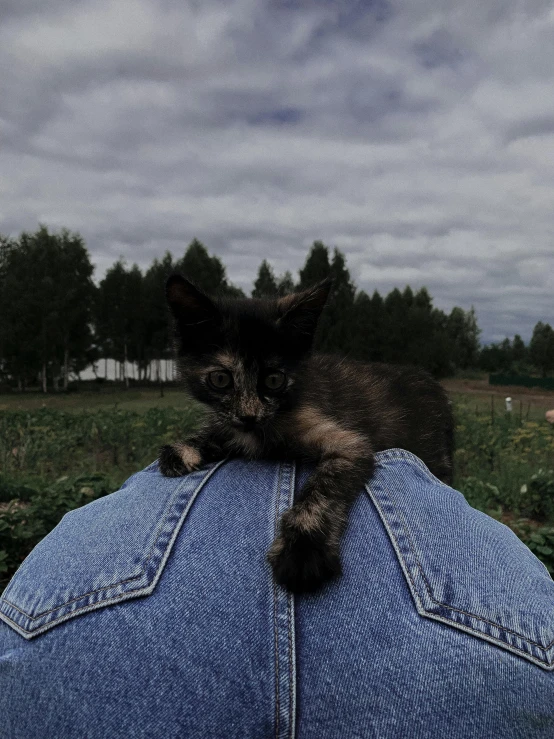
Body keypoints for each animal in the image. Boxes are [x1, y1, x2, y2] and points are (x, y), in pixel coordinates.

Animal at [160, 276, 452, 596]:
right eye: (221, 379)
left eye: (274, 380)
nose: (249, 415)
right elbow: (223, 429)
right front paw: (186, 447)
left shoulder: (350, 444)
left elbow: (324, 486)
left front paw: (303, 548)